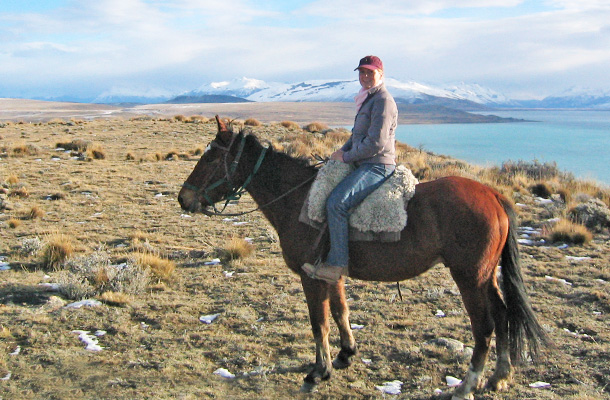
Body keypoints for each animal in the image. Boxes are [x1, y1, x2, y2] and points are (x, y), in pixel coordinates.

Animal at [176, 116, 548, 400]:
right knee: (503, 315)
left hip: (469, 277)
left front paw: (318, 371)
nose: (183, 198)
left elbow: (319, 323)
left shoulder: (311, 277)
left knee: (484, 327)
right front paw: (345, 355)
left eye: (211, 159)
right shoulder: (331, 272)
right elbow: (341, 312)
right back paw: (499, 377)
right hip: (486, 276)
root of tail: (494, 195)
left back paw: (467, 385)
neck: (298, 199)